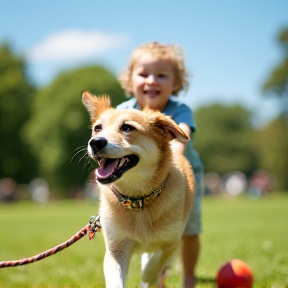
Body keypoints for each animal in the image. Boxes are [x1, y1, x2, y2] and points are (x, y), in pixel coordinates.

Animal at [82, 91, 195, 286]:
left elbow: (153, 266)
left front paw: (149, 277)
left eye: (127, 127)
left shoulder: (170, 242)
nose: (95, 142)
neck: (138, 199)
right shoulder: (116, 247)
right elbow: (116, 280)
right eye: (98, 128)